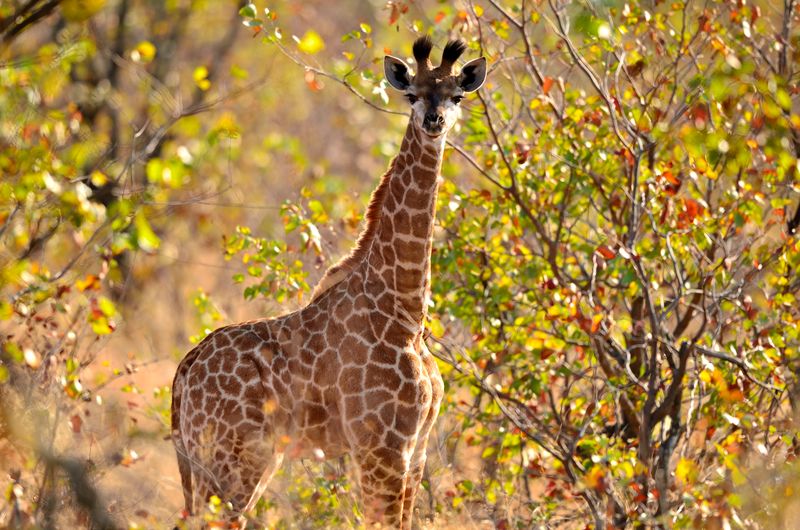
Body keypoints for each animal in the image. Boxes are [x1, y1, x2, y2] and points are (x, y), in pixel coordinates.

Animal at [170, 35, 488, 524]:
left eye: (456, 96)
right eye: (412, 95)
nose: (433, 121)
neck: (405, 307)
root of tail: (184, 372)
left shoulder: (415, 453)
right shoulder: (381, 447)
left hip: (234, 459)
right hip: (234, 456)